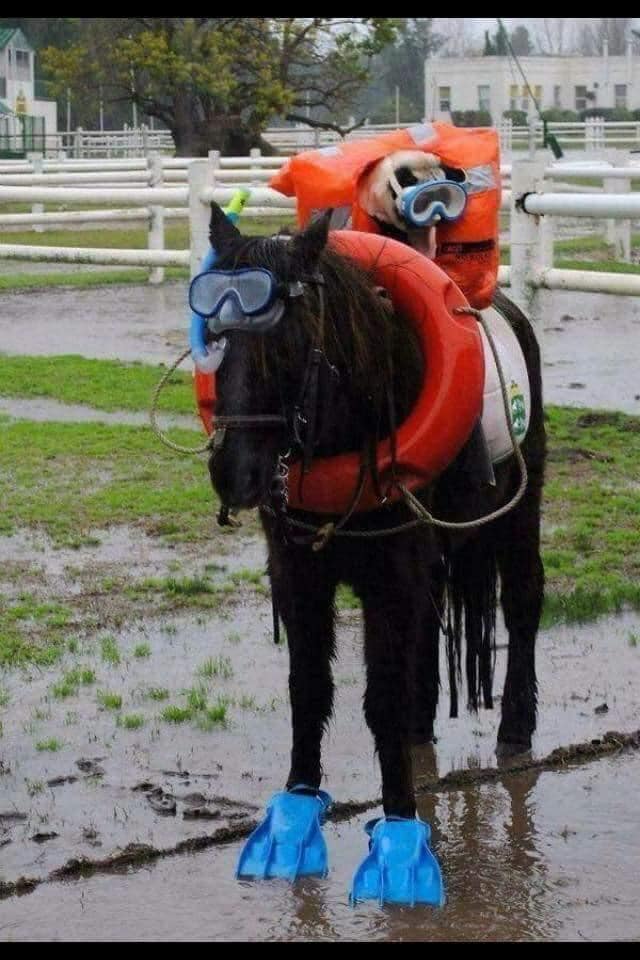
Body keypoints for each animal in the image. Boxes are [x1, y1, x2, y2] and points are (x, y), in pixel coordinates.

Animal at [202, 202, 544, 900]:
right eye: (214, 333)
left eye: (288, 337)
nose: (233, 472)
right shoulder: (298, 571)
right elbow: (309, 687)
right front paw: (292, 821)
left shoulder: (391, 574)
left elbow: (379, 699)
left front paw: (401, 841)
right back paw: (421, 725)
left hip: (520, 511)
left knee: (523, 607)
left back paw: (516, 728)